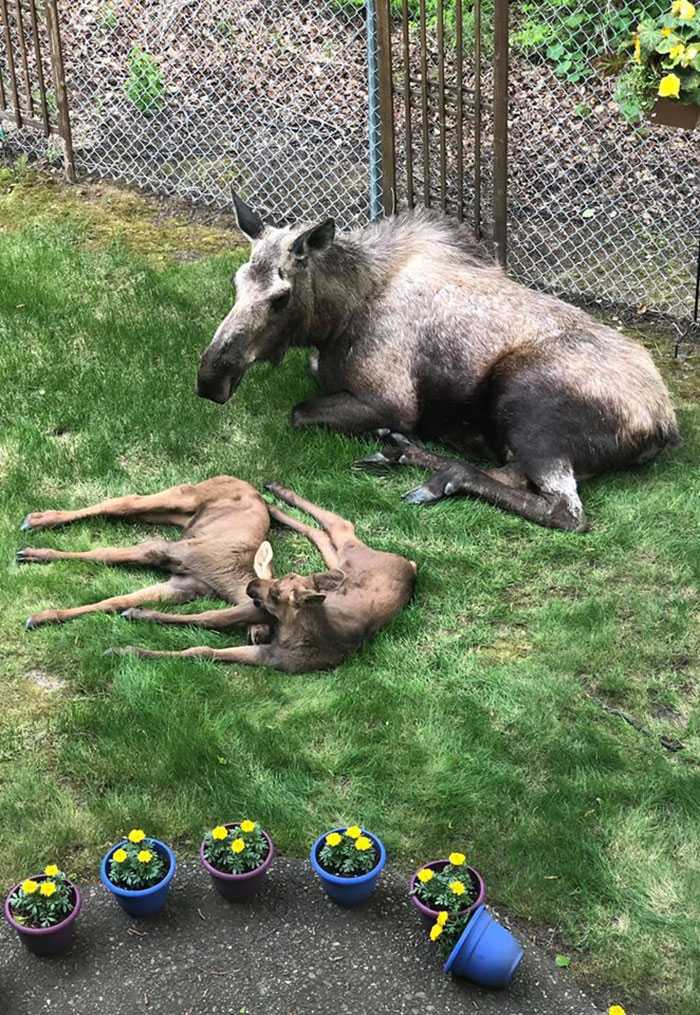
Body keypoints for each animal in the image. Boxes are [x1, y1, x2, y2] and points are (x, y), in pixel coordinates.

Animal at [115, 483, 413, 673]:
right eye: (281, 579)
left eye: (277, 593)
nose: (252, 585)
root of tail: (410, 566)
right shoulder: (259, 615)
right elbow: (208, 619)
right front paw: (134, 623)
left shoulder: (271, 656)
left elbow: (203, 648)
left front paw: (130, 643)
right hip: (346, 555)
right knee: (334, 525)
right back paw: (274, 495)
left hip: (343, 560)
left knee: (326, 530)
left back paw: (273, 500)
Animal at [196, 193, 677, 535]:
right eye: (236, 282)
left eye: (281, 297)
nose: (210, 378)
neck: (334, 320)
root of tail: (664, 425)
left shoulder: (392, 401)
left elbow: (298, 412)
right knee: (513, 473)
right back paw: (406, 453)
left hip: (526, 403)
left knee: (565, 511)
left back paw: (432, 466)